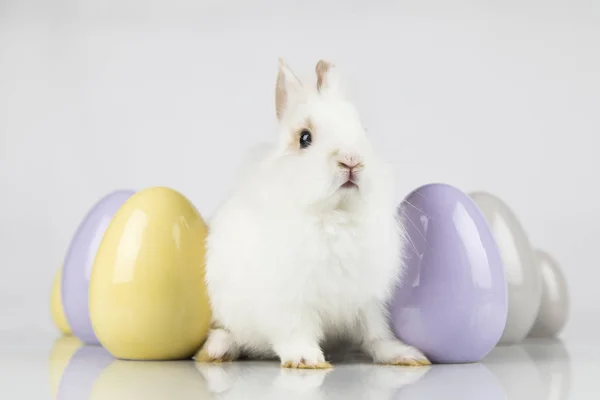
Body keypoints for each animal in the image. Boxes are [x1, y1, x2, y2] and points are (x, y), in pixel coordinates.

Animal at [197, 58, 432, 368]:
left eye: (363, 130)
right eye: (304, 138)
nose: (351, 160)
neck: (334, 216)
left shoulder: (368, 299)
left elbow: (376, 334)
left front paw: (404, 355)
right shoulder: (288, 299)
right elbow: (295, 330)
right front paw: (307, 359)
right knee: (229, 334)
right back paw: (217, 351)